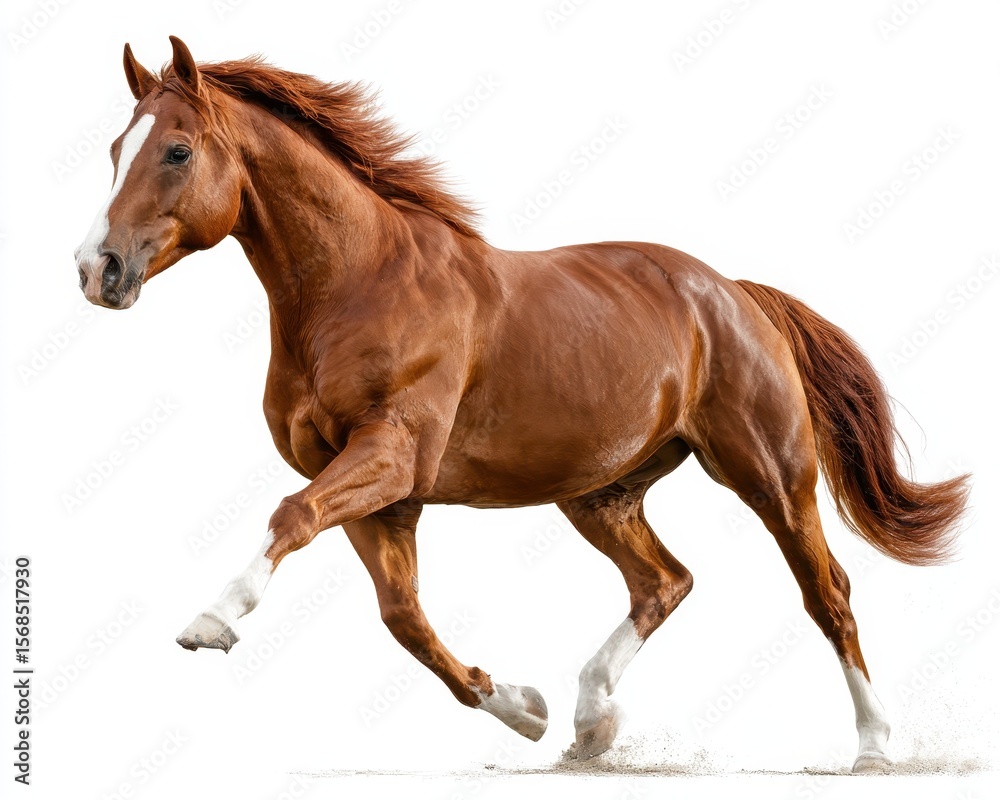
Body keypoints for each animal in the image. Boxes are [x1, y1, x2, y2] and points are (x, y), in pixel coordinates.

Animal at [74, 36, 969, 772]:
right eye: (117, 149)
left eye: (177, 150)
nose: (96, 269)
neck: (358, 286)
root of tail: (736, 293)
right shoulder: (383, 496)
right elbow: (403, 617)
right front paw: (523, 711)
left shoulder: (391, 456)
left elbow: (291, 517)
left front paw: (210, 622)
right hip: (600, 494)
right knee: (665, 581)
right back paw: (589, 723)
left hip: (770, 474)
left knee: (828, 593)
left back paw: (873, 746)